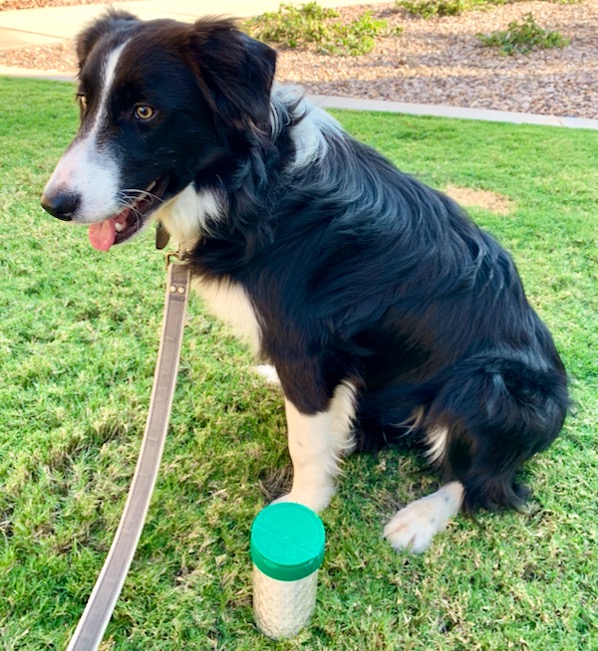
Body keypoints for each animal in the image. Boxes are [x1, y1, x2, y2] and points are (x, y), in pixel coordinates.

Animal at [41, 10, 569, 553]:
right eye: (84, 102)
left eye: (145, 112)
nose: (54, 204)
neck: (251, 186)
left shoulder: (311, 345)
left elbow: (306, 442)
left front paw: (303, 506)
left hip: (488, 386)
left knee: (485, 482)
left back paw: (420, 517)